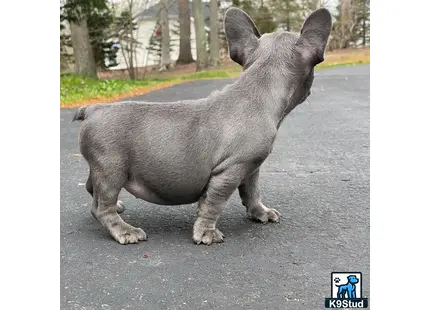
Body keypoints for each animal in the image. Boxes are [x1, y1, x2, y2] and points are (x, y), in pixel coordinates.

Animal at [72, 6, 332, 245]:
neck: (259, 87)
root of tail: (93, 109)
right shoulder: (230, 170)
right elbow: (213, 204)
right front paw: (206, 232)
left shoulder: (251, 168)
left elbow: (252, 191)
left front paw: (260, 212)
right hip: (112, 168)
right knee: (102, 207)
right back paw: (124, 230)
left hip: (101, 168)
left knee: (93, 191)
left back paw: (117, 207)